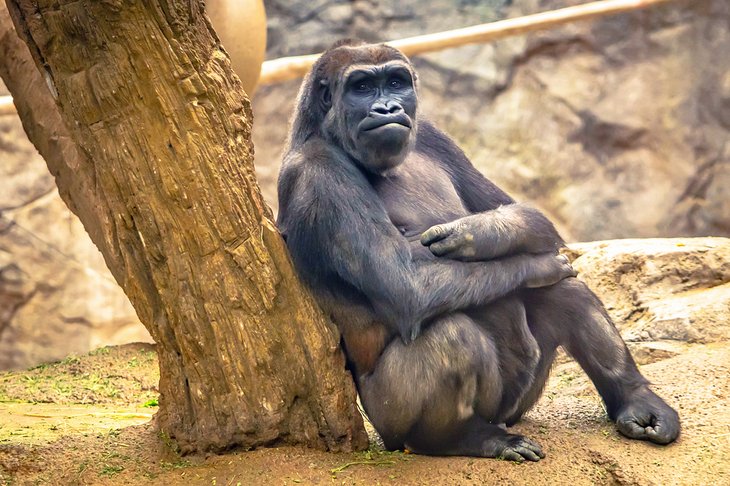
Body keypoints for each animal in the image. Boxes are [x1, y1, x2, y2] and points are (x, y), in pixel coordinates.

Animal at [274, 39, 676, 462]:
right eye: (362, 87)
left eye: (396, 82)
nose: (388, 109)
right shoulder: (319, 173)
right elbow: (407, 284)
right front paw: (536, 264)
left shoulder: (431, 134)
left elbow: (523, 214)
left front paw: (478, 234)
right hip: (391, 427)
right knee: (453, 337)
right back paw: (462, 439)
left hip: (516, 407)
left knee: (565, 292)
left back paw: (635, 399)